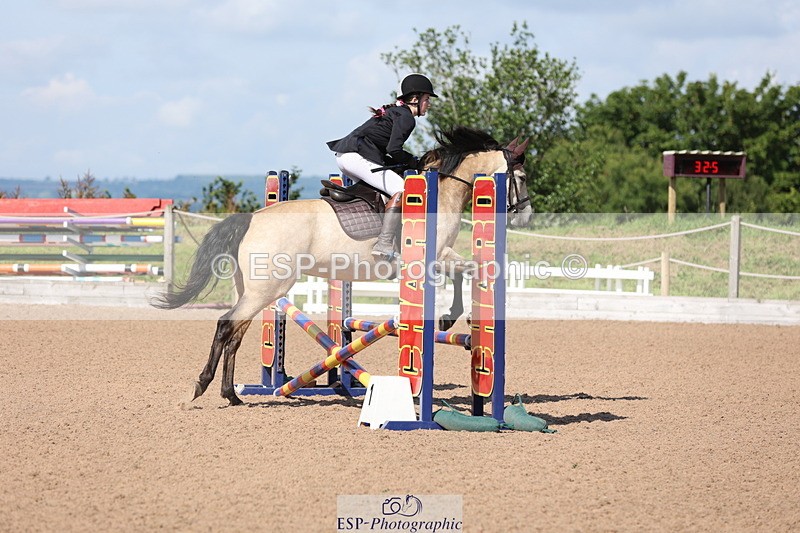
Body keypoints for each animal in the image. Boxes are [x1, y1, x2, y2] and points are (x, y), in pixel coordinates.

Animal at [154, 127, 532, 406]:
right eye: (523, 176)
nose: (525, 217)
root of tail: (252, 218)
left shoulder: (442, 254)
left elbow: (463, 270)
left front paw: (451, 318)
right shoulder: (432, 258)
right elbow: (462, 272)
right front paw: (450, 317)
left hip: (255, 289)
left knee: (235, 333)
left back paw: (231, 395)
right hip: (268, 288)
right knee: (225, 325)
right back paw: (202, 388)